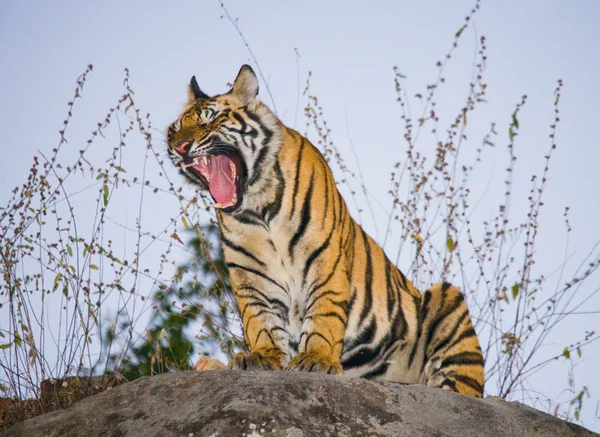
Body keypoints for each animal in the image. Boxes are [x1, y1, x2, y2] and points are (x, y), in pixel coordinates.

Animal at [166, 63, 486, 396]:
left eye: (210, 120)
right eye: (174, 129)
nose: (179, 147)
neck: (257, 207)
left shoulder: (324, 257)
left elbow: (324, 313)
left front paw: (316, 360)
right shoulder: (249, 274)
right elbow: (260, 320)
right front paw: (261, 356)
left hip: (448, 302)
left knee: (460, 389)